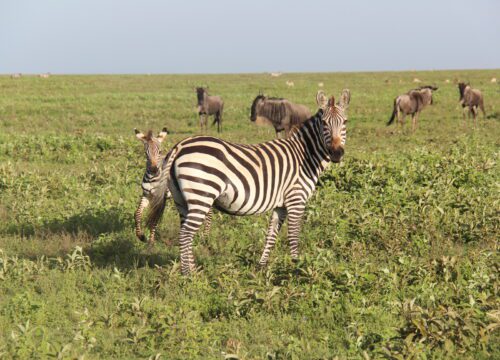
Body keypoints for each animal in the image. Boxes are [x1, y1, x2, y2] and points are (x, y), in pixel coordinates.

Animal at [146, 91, 346, 274]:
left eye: (345, 122)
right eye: (324, 123)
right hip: (201, 194)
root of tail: (180, 146)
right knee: (186, 234)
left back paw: (193, 270)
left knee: (184, 231)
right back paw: (189, 276)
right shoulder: (296, 199)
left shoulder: (280, 204)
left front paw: (262, 268)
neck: (304, 155)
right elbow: (294, 235)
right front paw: (296, 269)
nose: (337, 153)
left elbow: (271, 234)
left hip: (181, 200)